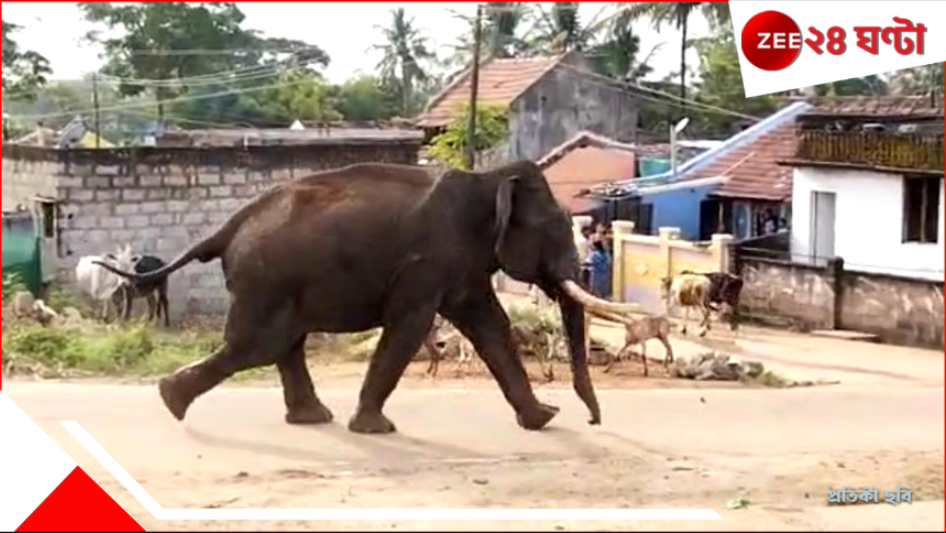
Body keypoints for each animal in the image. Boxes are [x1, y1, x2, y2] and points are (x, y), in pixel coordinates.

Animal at [95, 160, 639, 434]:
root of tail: (227, 228)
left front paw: (542, 420)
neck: (488, 180)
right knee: (257, 345)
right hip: (265, 279)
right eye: (555, 229)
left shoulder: (462, 264)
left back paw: (307, 418)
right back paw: (171, 400)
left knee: (282, 343)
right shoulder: (427, 260)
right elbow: (411, 325)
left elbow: (489, 324)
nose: (593, 420)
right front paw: (376, 429)